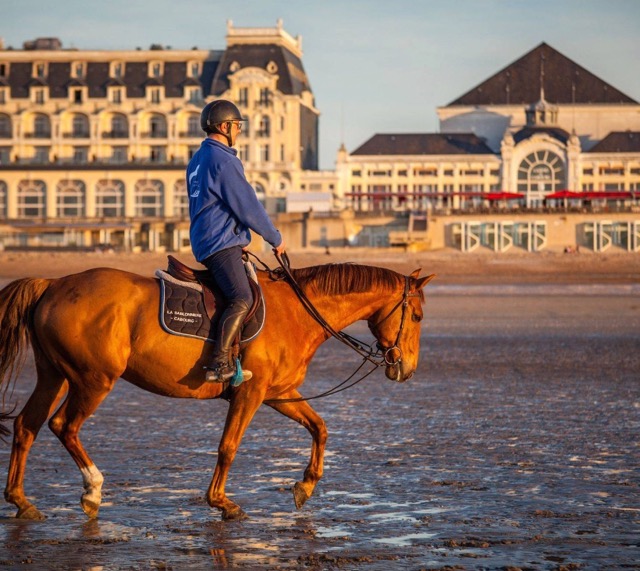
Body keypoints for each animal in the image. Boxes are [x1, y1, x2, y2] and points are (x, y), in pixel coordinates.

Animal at [0, 260, 436, 524]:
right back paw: (92, 490)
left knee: (26, 426)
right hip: (93, 380)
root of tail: (54, 284)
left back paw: (21, 500)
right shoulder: (251, 393)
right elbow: (228, 446)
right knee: (63, 425)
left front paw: (305, 486)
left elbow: (320, 428)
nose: (408, 369)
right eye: (417, 316)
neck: (297, 312)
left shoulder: (279, 393)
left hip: (54, 375)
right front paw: (221, 502)